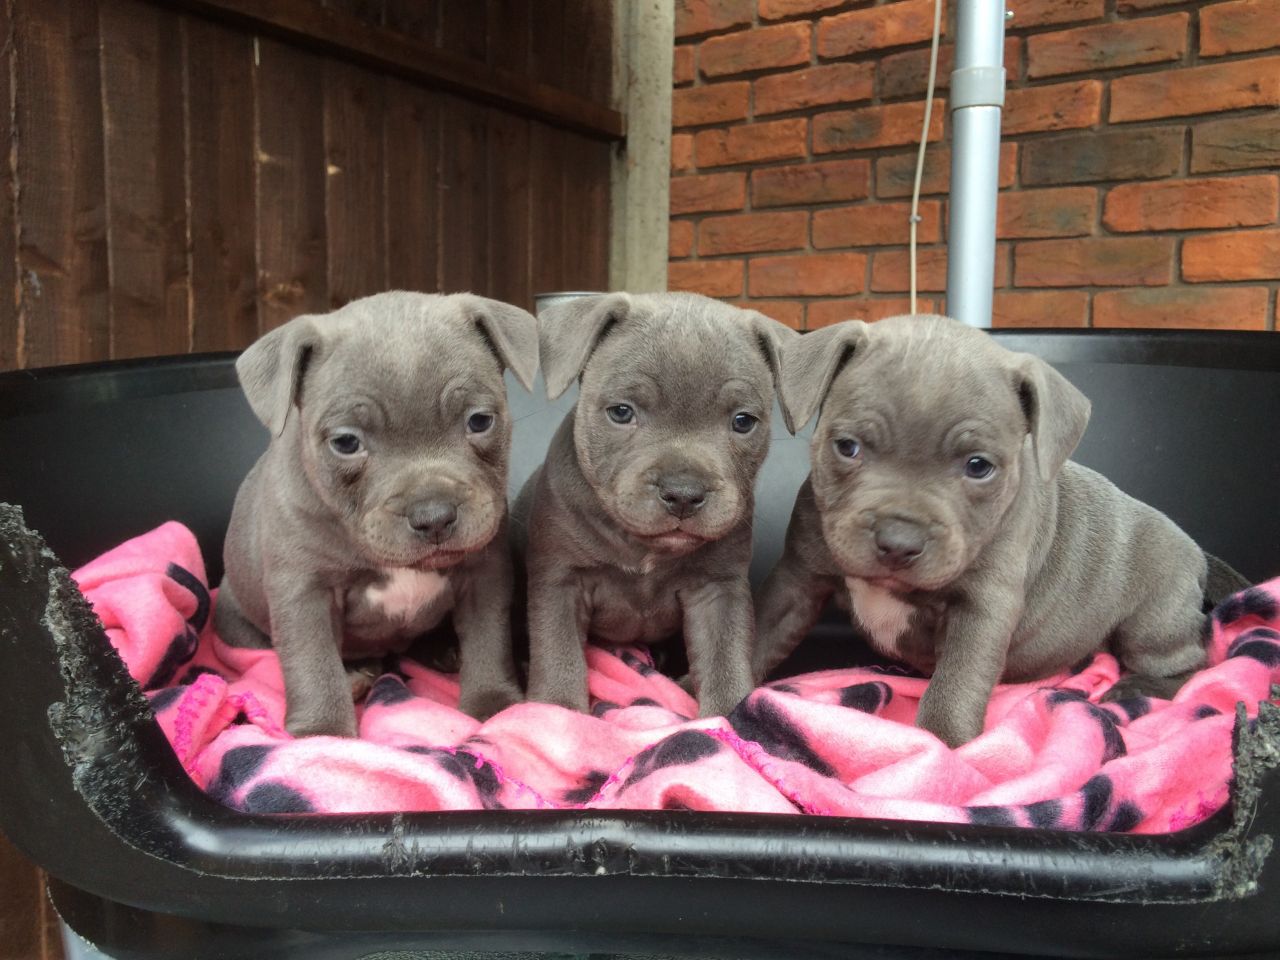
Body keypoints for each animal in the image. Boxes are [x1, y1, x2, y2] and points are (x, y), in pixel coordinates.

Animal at [217, 291, 537, 737]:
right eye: (346, 442)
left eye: (479, 420)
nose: (434, 514)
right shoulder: (303, 592)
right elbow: (312, 662)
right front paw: (323, 732)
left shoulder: (485, 572)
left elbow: (489, 640)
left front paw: (496, 703)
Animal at [512, 293, 793, 721]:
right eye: (621, 411)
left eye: (744, 421)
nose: (683, 492)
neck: (642, 545)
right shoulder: (560, 580)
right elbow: (559, 652)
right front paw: (558, 710)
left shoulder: (718, 588)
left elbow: (724, 656)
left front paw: (731, 714)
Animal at [752, 317, 1213, 752]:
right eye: (847, 446)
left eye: (978, 466)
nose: (899, 541)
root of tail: (1197, 552)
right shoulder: (798, 578)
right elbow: (761, 630)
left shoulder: (982, 609)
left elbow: (957, 684)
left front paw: (945, 746)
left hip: (1154, 620)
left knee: (1192, 663)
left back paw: (1138, 689)